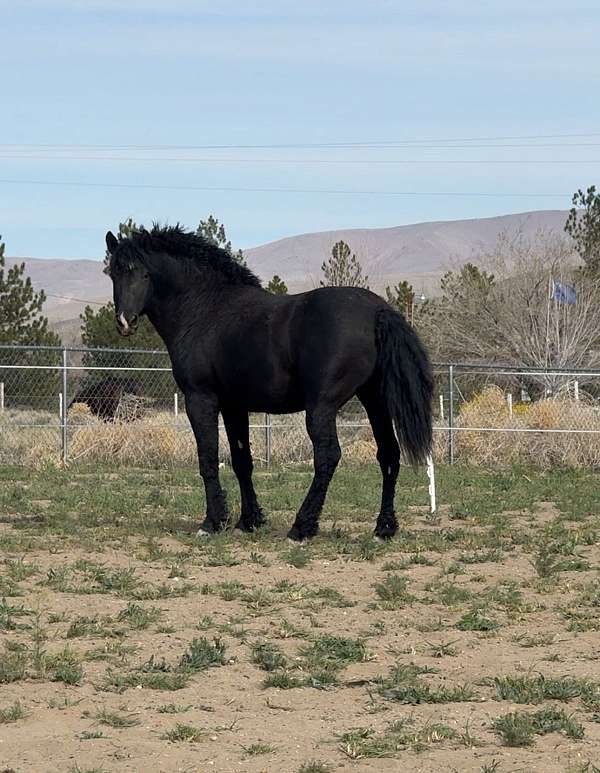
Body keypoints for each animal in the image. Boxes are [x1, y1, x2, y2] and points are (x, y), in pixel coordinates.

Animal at [104, 225, 433, 542]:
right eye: (114, 272)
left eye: (144, 273)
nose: (124, 321)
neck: (205, 309)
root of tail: (378, 311)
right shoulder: (234, 406)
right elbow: (241, 460)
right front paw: (248, 521)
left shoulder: (200, 399)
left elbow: (208, 458)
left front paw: (212, 522)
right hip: (374, 400)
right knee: (388, 454)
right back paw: (383, 529)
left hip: (322, 407)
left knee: (328, 457)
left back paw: (301, 527)